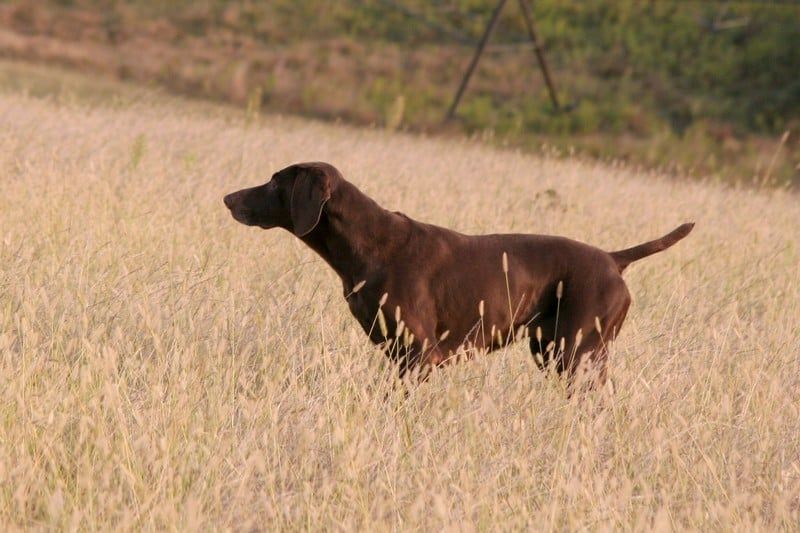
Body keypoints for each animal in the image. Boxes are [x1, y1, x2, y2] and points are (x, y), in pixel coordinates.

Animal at [225, 160, 692, 384]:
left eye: (274, 182)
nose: (228, 197)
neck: (369, 243)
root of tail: (613, 259)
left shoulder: (419, 354)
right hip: (552, 349)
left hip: (576, 353)